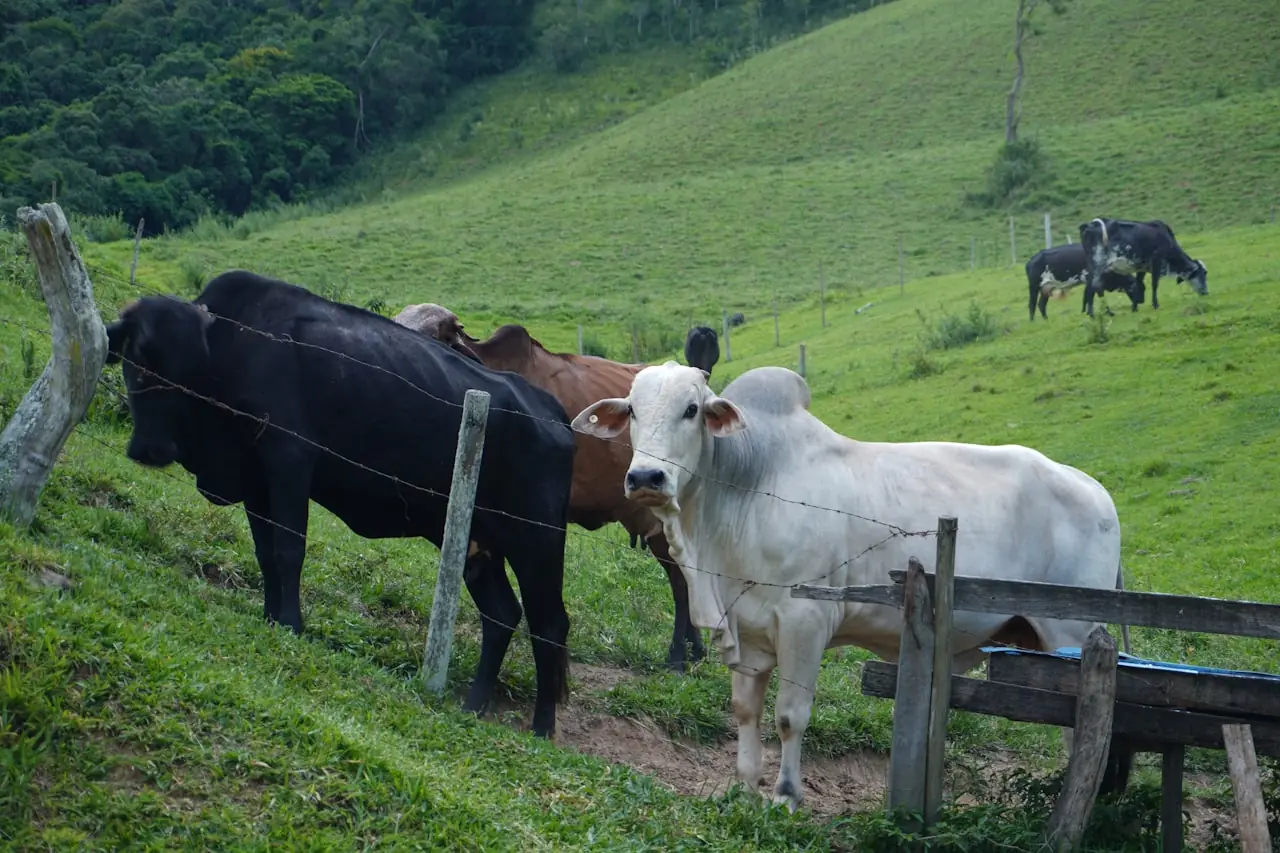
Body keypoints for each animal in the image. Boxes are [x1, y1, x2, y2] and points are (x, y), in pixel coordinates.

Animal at [103, 271, 577, 739]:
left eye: (186, 363)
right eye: (135, 354)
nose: (152, 449)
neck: (237, 346)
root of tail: (551, 410)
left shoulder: (290, 458)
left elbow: (288, 550)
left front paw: (291, 623)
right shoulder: (255, 479)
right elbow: (265, 554)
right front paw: (269, 615)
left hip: (537, 542)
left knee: (549, 625)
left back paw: (542, 727)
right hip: (478, 543)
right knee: (501, 615)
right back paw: (474, 704)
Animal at [572, 362, 1125, 808]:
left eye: (691, 410)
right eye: (634, 411)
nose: (647, 477)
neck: (746, 488)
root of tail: (1094, 488)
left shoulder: (804, 623)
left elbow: (789, 716)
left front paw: (786, 796)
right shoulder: (746, 630)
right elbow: (745, 711)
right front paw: (745, 788)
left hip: (1070, 637)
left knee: (1084, 730)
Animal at [1078, 217, 1208, 317]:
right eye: (1202, 273)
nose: (1206, 292)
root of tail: (1089, 225)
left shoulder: (1141, 267)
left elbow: (1138, 284)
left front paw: (1134, 307)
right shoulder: (1156, 260)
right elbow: (1155, 284)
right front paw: (1155, 304)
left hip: (1092, 268)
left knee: (1090, 288)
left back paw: (1092, 313)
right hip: (1099, 265)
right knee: (1096, 288)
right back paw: (1106, 312)